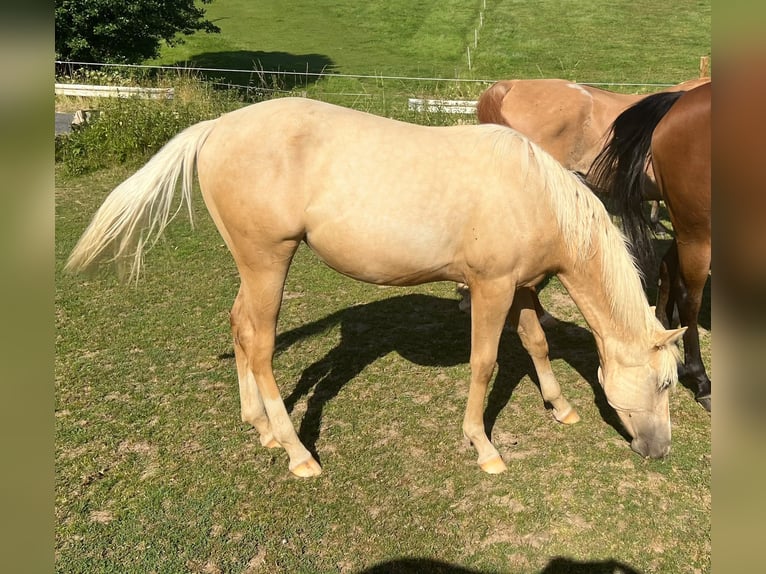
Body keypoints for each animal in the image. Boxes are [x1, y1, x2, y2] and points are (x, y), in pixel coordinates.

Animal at [66, 97, 684, 477]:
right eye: (665, 383)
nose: (659, 451)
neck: (535, 192)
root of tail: (216, 127)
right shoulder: (491, 289)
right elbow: (484, 363)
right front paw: (483, 447)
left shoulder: (523, 288)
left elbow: (536, 343)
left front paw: (560, 408)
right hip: (268, 261)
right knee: (261, 346)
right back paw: (296, 452)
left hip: (253, 266)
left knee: (240, 327)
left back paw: (259, 426)